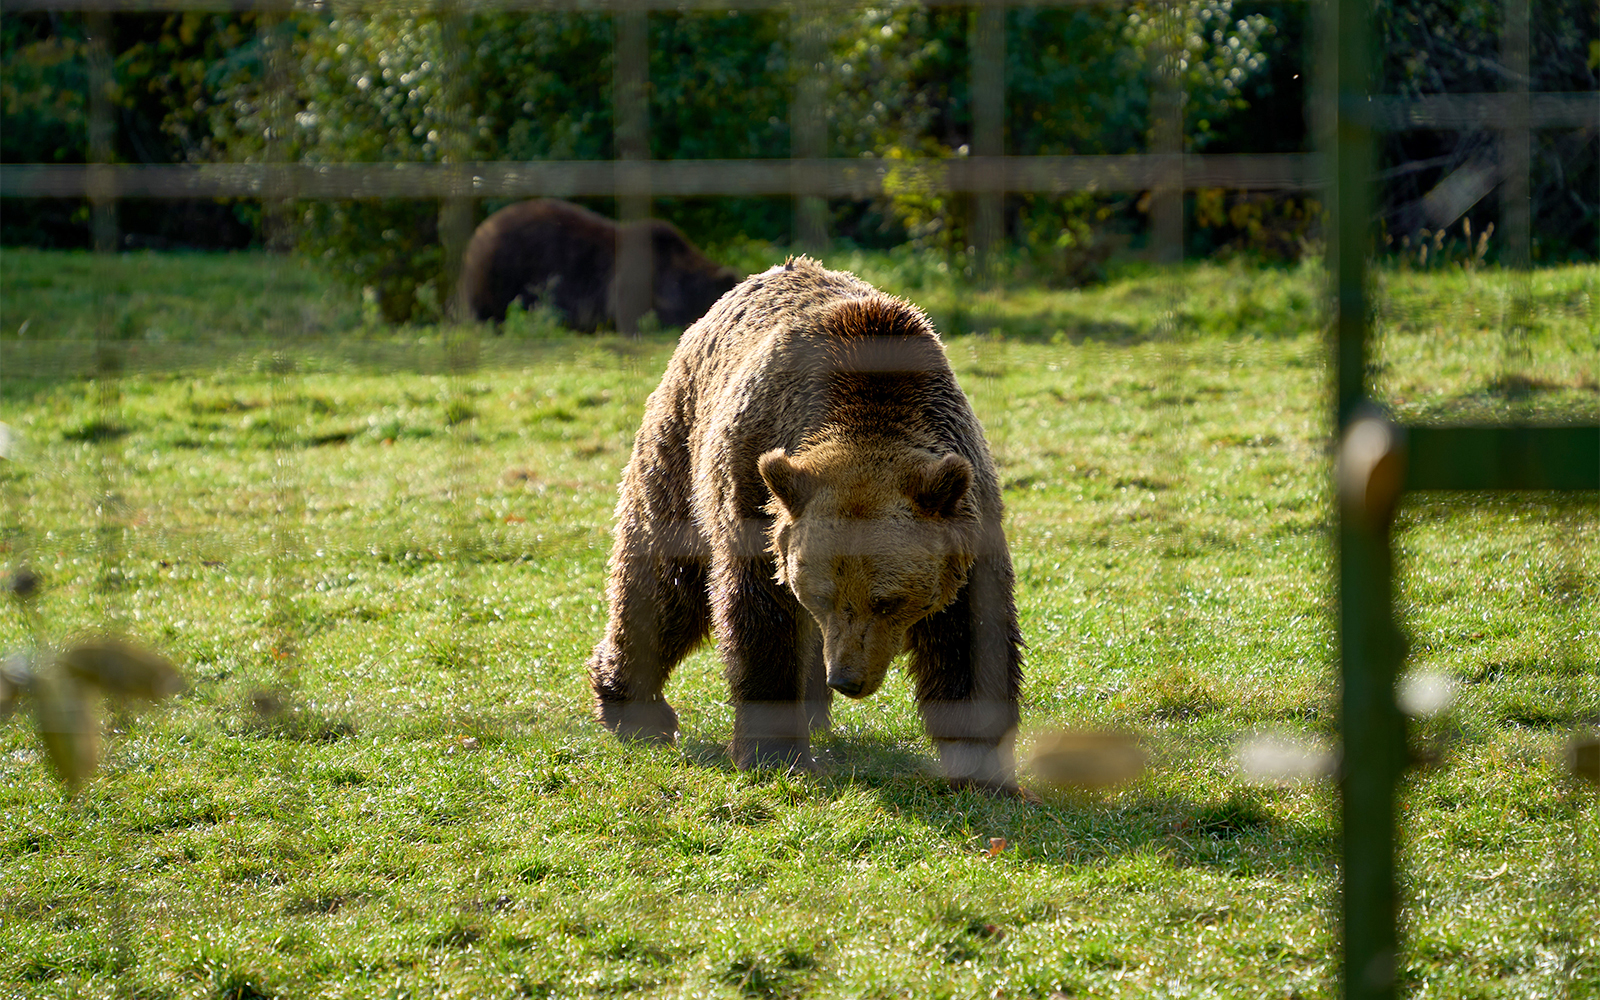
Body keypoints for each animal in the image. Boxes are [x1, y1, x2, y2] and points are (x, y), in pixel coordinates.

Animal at [587, 256, 1024, 794]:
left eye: (888, 601)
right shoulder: (753, 490)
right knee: (663, 584)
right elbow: (759, 618)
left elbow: (971, 637)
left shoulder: (965, 520)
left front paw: (984, 767)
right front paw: (774, 751)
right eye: (820, 595)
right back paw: (636, 709)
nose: (848, 679)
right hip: (680, 448)